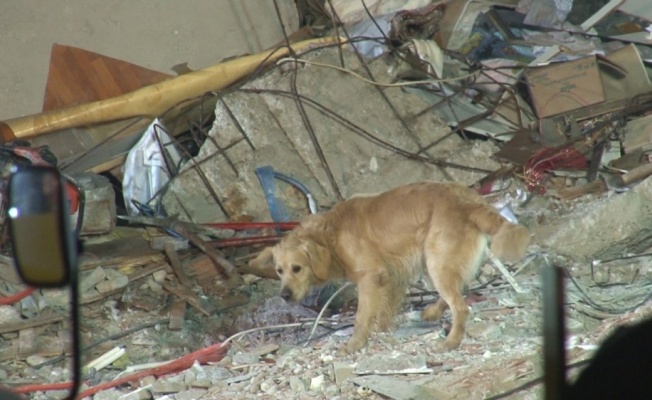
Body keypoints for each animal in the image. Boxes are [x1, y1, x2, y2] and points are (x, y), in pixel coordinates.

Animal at [250, 181, 528, 354]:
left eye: (297, 268)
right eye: (279, 271)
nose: (284, 296)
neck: (331, 233)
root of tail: (467, 199)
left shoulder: (371, 276)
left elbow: (361, 315)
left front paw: (355, 344)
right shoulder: (392, 275)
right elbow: (384, 308)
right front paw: (381, 329)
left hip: (435, 261)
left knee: (460, 306)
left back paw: (451, 341)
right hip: (432, 262)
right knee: (462, 287)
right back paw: (432, 312)